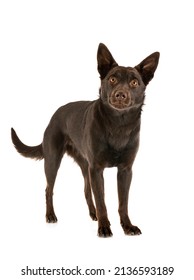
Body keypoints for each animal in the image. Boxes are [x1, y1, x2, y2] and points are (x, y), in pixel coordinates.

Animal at [11, 43, 159, 236]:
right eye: (112, 79)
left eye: (134, 82)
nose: (120, 94)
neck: (118, 123)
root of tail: (54, 115)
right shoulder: (97, 169)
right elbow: (102, 201)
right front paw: (104, 227)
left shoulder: (125, 170)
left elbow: (123, 203)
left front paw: (127, 226)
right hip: (53, 161)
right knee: (49, 189)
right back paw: (51, 215)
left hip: (85, 166)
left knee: (87, 191)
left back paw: (92, 213)